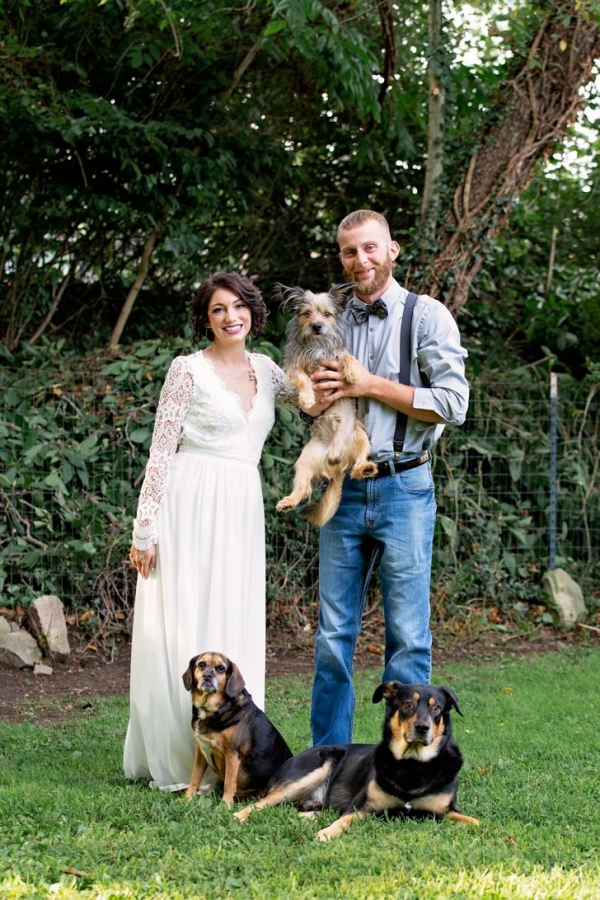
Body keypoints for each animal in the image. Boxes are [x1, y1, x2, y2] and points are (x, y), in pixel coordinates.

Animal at [180, 652, 292, 804]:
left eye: (221, 668)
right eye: (201, 664)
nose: (207, 676)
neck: (214, 709)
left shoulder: (232, 753)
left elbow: (229, 782)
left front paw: (225, 805)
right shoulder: (201, 750)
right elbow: (195, 776)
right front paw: (188, 798)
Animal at [233, 684, 478, 840]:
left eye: (437, 707)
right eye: (408, 704)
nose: (422, 728)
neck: (412, 765)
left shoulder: (444, 811)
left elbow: (477, 822)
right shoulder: (362, 806)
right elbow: (344, 820)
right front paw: (327, 833)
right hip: (307, 774)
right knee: (260, 804)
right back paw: (238, 816)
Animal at [276, 286, 376, 528]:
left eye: (327, 314)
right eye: (307, 314)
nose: (317, 326)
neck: (317, 346)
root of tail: (337, 464)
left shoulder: (337, 355)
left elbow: (347, 358)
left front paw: (353, 373)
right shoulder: (294, 367)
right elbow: (303, 379)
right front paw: (307, 399)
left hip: (361, 438)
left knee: (358, 467)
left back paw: (366, 467)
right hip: (304, 460)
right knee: (304, 488)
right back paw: (288, 502)